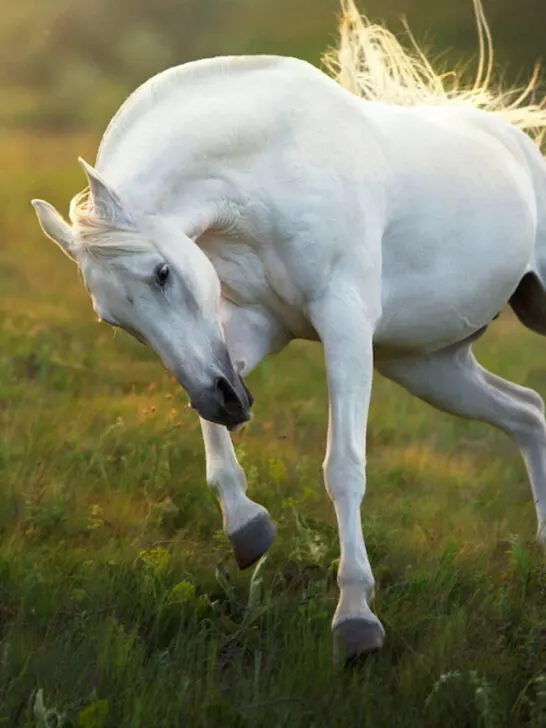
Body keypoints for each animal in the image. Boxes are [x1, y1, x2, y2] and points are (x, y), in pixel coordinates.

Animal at [32, 0, 546, 660]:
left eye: (162, 272)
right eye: (113, 320)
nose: (226, 402)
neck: (273, 168)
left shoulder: (345, 327)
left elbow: (343, 467)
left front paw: (356, 620)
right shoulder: (256, 329)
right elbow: (210, 413)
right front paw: (248, 527)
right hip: (429, 366)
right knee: (528, 413)